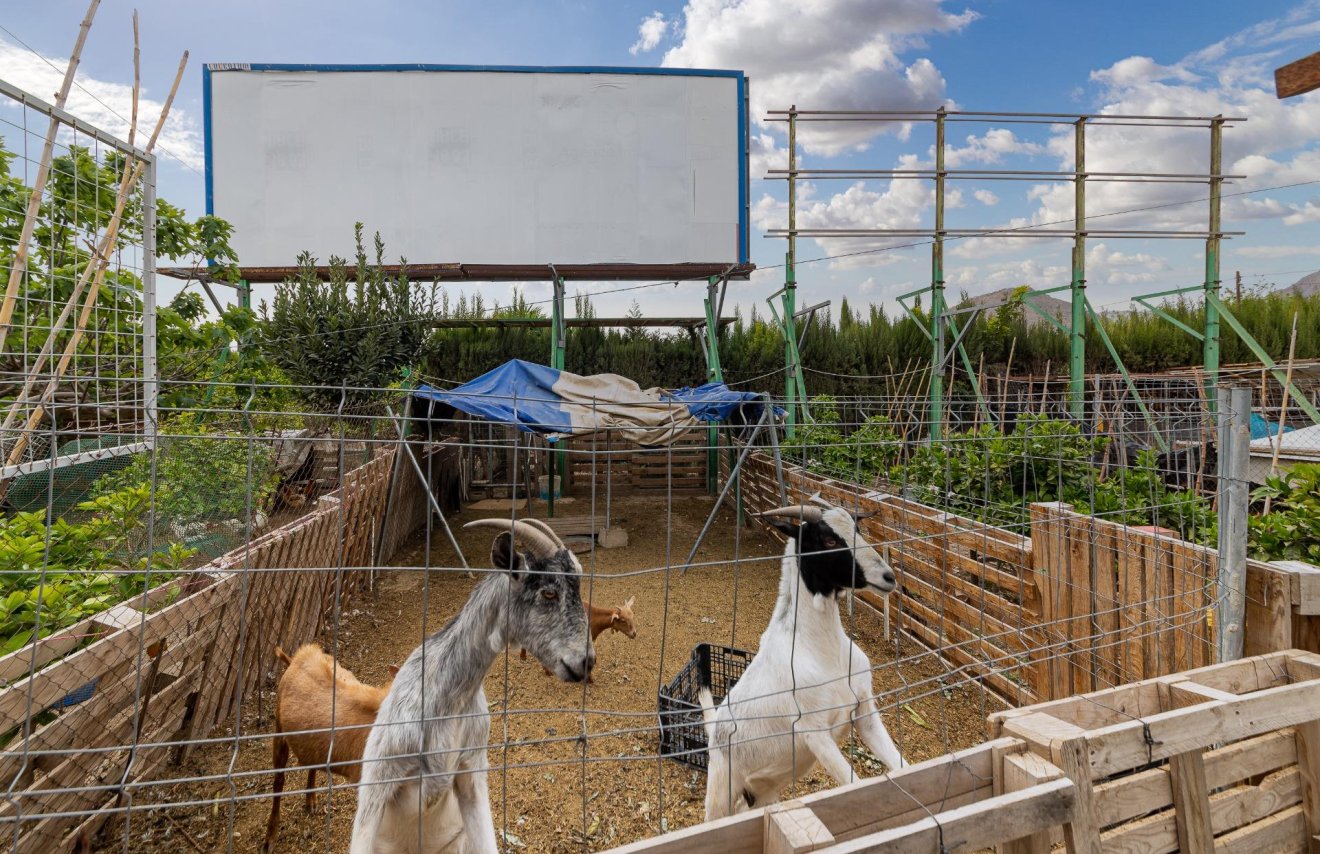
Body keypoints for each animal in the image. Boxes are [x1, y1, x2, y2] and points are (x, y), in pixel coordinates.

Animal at [702, 501, 908, 823]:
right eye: (829, 540)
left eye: (858, 529)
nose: (888, 577)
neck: (823, 652)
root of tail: (714, 731)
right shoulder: (813, 732)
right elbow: (854, 783)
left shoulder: (863, 710)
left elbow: (903, 767)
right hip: (721, 790)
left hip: (763, 792)